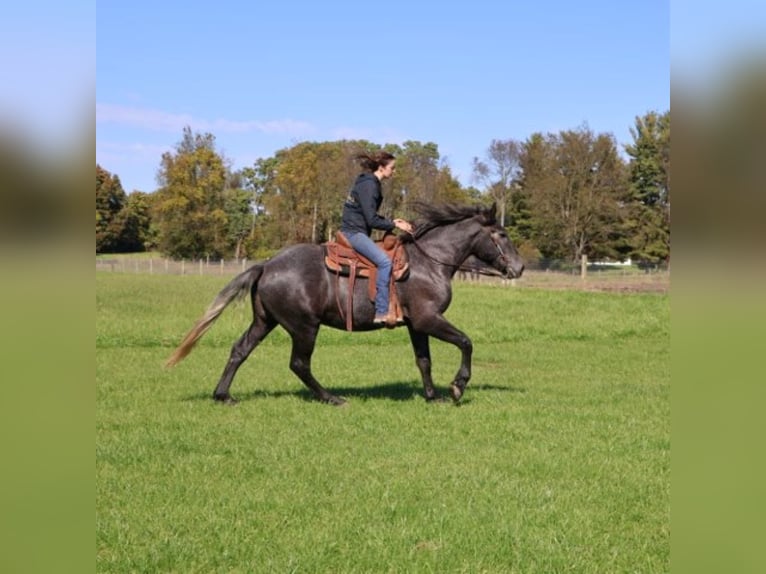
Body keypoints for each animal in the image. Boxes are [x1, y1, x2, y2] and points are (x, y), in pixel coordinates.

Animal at [165, 202, 525, 405]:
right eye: (502, 234)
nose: (519, 268)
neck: (428, 262)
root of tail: (267, 265)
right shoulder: (428, 319)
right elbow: (466, 342)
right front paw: (458, 387)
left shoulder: (417, 325)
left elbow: (424, 361)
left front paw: (432, 396)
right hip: (304, 327)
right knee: (299, 364)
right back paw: (331, 398)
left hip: (265, 321)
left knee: (240, 350)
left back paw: (223, 395)